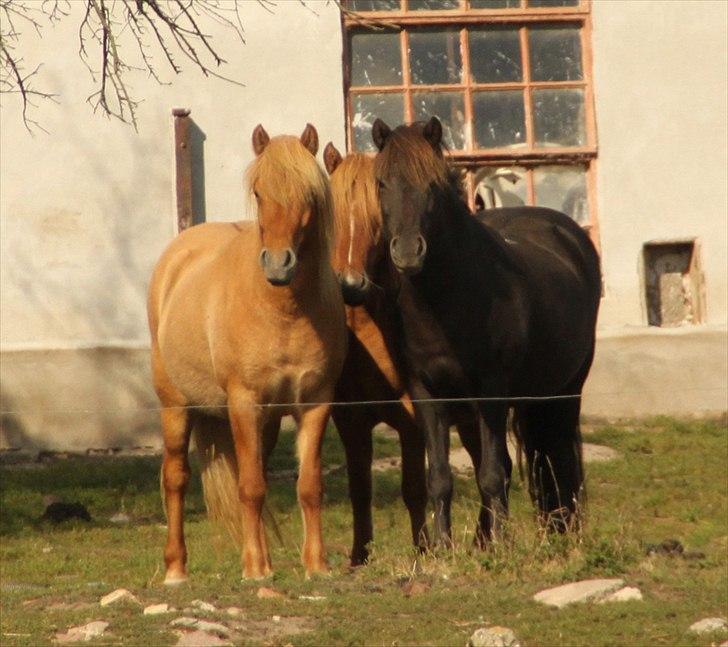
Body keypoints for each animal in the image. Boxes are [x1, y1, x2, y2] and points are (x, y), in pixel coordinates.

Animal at [148, 123, 346, 584]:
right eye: (258, 192)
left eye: (309, 193)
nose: (277, 264)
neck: (282, 310)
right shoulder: (243, 403)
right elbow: (251, 487)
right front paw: (255, 568)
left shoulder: (316, 403)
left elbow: (308, 485)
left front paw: (316, 564)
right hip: (176, 407)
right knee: (177, 479)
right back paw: (176, 568)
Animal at [322, 143, 430, 568]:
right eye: (331, 211)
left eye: (378, 215)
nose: (350, 285)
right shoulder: (350, 420)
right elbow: (359, 487)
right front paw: (359, 554)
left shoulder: (414, 420)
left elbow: (414, 488)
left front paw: (425, 550)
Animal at [362, 117, 600, 548]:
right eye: (382, 182)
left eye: (432, 185)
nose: (407, 252)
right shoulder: (426, 394)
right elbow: (440, 477)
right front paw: (445, 548)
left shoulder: (491, 391)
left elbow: (492, 473)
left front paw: (501, 547)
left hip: (565, 388)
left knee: (558, 455)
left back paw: (559, 531)